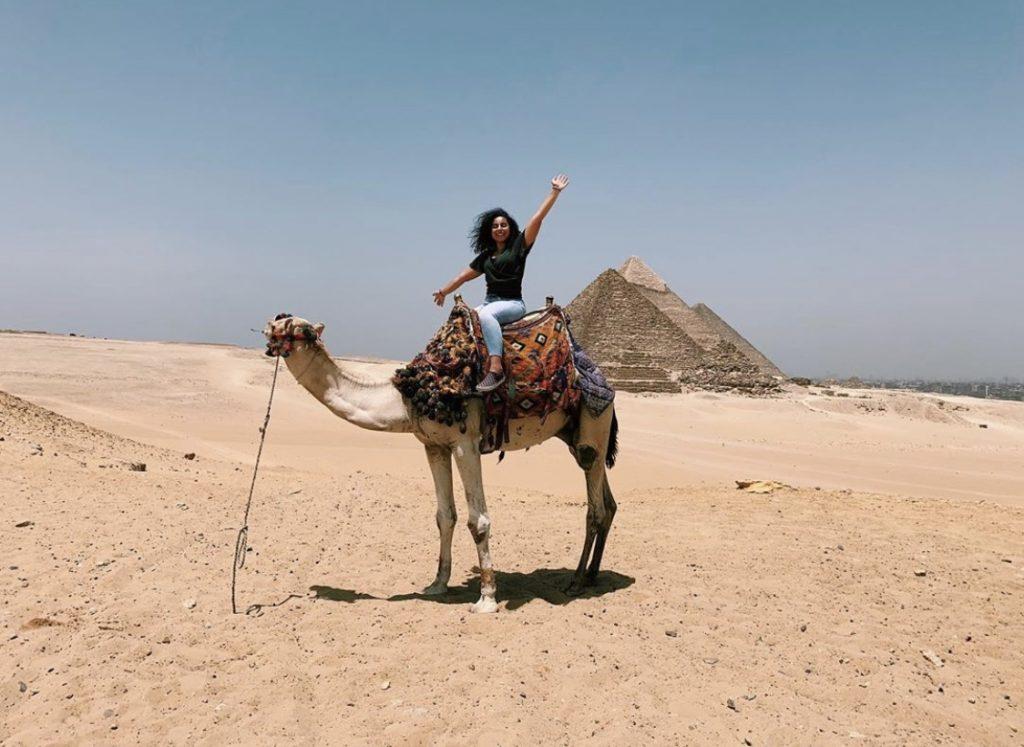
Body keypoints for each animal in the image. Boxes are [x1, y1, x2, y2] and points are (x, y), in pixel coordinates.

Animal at [262, 313, 614, 610]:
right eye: (283, 319)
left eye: (299, 328)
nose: (271, 324)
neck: (408, 396)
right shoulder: (434, 446)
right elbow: (445, 516)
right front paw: (438, 584)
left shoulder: (465, 443)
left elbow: (478, 521)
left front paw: (487, 597)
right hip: (575, 435)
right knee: (608, 504)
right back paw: (592, 575)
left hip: (593, 428)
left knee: (595, 508)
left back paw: (576, 581)